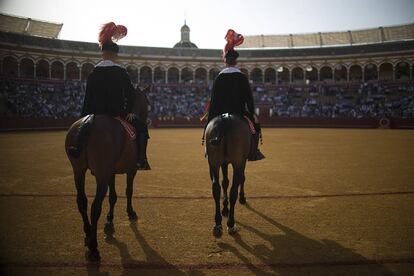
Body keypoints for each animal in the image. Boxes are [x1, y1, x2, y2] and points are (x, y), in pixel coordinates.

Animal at [64, 85, 150, 260]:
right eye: (147, 101)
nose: (146, 117)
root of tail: (89, 120)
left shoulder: (111, 172)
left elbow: (113, 196)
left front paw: (109, 222)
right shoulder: (130, 170)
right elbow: (128, 191)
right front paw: (130, 212)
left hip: (78, 170)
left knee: (81, 201)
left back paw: (88, 234)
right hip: (101, 175)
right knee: (95, 206)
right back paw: (94, 248)